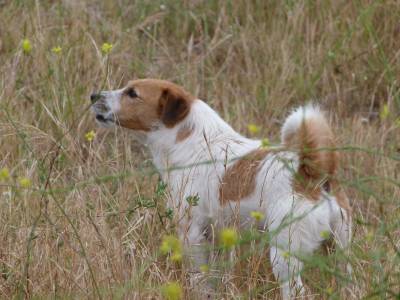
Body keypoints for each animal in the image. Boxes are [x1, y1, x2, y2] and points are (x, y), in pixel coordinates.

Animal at [90, 78, 350, 298]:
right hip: (340, 250)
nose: (93, 95)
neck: (192, 142)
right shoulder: (216, 237)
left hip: (284, 255)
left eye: (132, 93)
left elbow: (199, 278)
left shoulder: (192, 233)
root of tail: (313, 173)